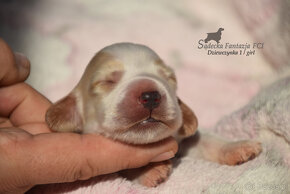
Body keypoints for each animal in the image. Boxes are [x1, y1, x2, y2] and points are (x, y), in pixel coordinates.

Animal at [46, 42, 262, 186]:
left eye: (168, 77)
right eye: (107, 81)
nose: (150, 96)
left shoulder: (181, 143)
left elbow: (205, 141)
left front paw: (239, 147)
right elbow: (125, 165)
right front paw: (150, 170)